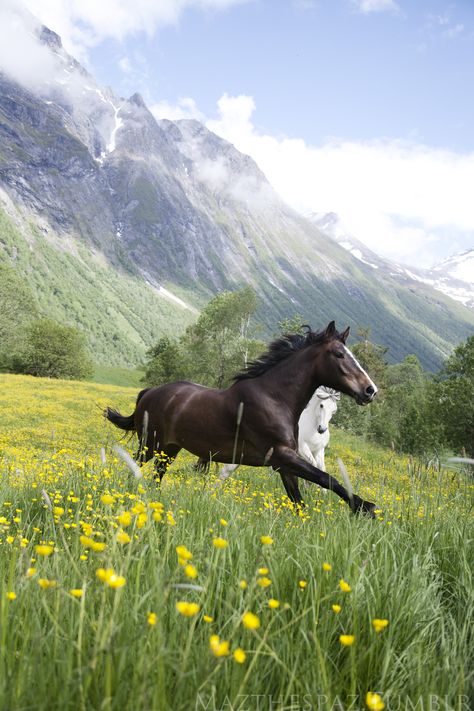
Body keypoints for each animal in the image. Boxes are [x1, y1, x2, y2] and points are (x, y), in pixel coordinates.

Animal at [106, 326, 378, 516]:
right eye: (339, 354)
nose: (370, 390)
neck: (274, 398)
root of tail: (149, 392)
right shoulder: (283, 455)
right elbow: (326, 478)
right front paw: (365, 507)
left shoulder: (283, 463)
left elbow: (299, 501)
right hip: (150, 446)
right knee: (134, 467)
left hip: (169, 450)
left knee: (156, 476)